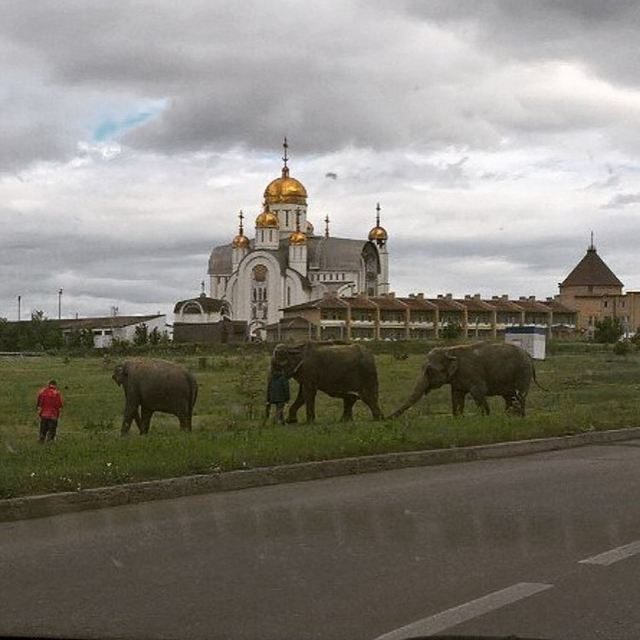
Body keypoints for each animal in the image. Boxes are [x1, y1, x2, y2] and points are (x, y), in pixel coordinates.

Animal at [388, 340, 544, 420]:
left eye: (429, 371)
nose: (385, 418)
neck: (449, 350)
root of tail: (529, 356)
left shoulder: (474, 374)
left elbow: (478, 393)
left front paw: (485, 419)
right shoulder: (457, 379)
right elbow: (456, 397)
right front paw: (458, 420)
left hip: (523, 373)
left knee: (519, 396)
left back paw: (519, 418)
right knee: (509, 397)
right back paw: (510, 417)